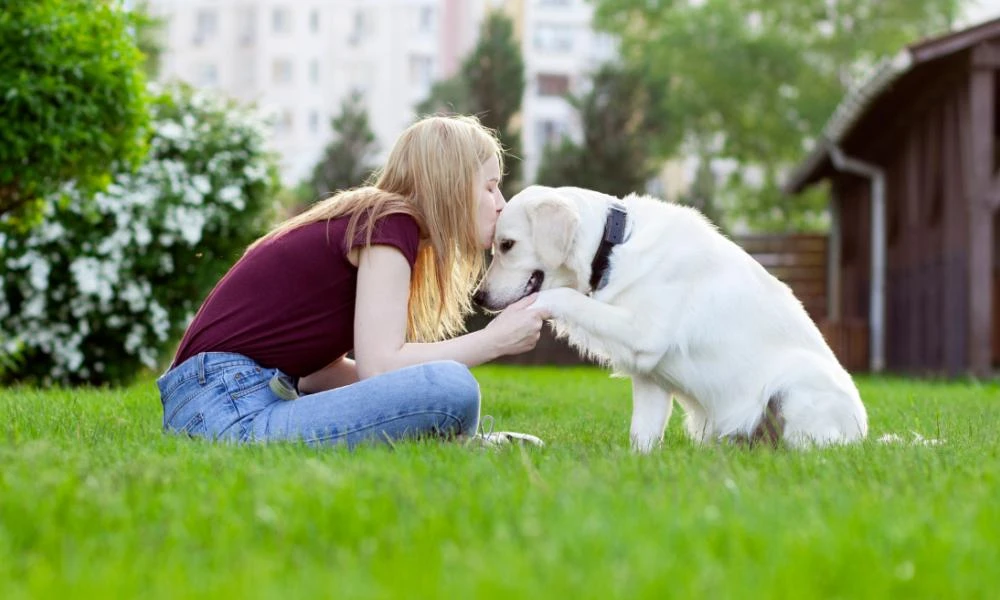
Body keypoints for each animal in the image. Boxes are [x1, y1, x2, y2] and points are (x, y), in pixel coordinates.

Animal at [476, 185, 868, 452]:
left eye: (507, 245)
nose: (479, 297)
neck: (615, 246)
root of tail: (864, 438)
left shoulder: (643, 334)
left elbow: (563, 297)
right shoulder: (650, 375)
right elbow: (642, 434)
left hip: (796, 383)